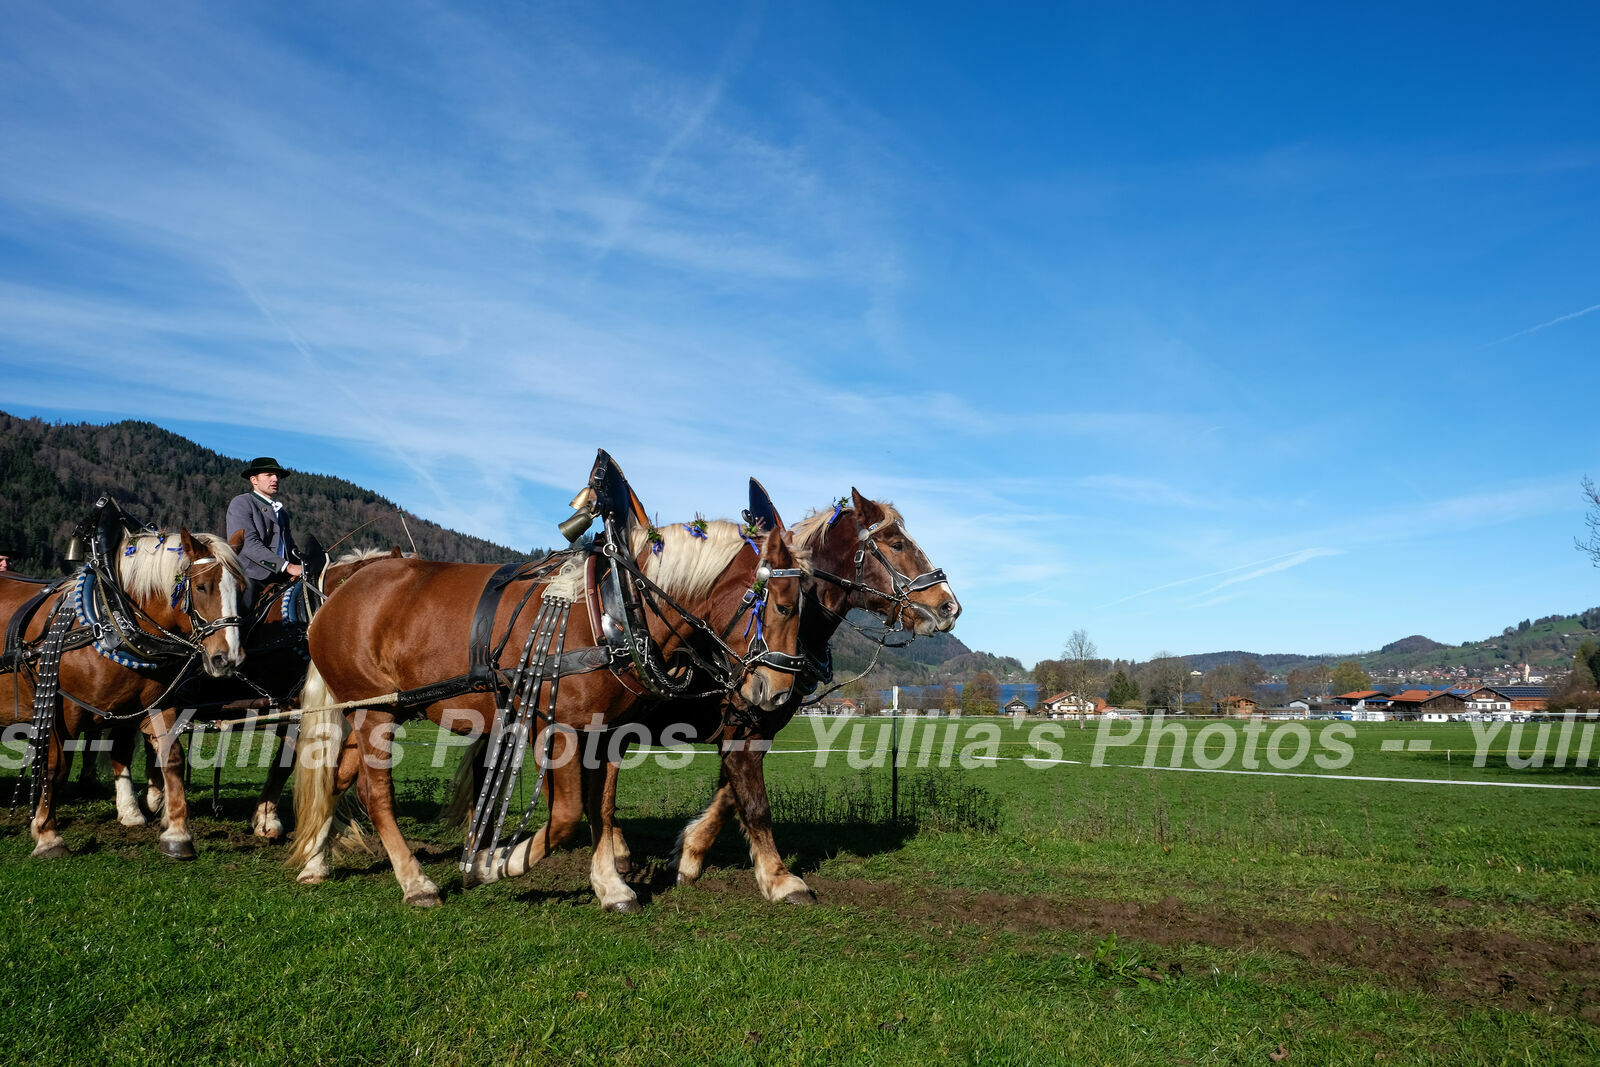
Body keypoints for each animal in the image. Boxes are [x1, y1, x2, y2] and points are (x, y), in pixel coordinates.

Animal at [598, 489, 947, 908]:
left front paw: (688, 855)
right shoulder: (744, 731)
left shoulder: (752, 733)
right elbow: (755, 805)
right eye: (897, 544)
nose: (949, 605)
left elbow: (730, 799)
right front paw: (780, 878)